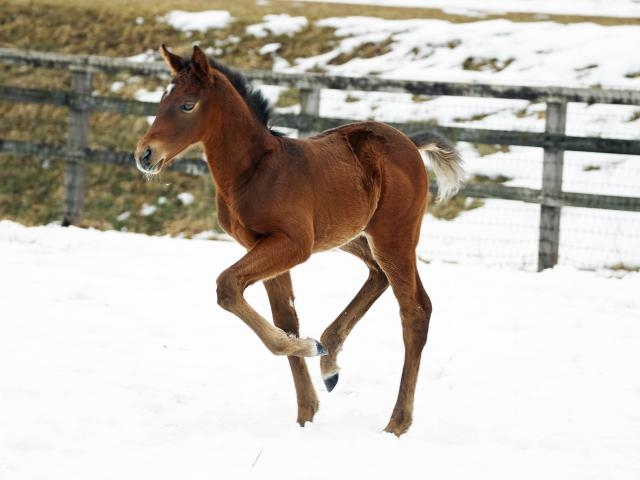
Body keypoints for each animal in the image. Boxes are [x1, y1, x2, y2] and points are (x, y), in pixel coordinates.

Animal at [135, 45, 464, 436]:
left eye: (187, 105)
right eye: (161, 100)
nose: (144, 155)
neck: (254, 171)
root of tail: (410, 144)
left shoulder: (293, 244)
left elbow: (227, 286)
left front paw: (308, 348)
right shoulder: (261, 245)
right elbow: (285, 319)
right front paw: (307, 409)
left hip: (392, 236)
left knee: (414, 311)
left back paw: (396, 423)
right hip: (351, 235)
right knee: (380, 277)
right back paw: (330, 360)